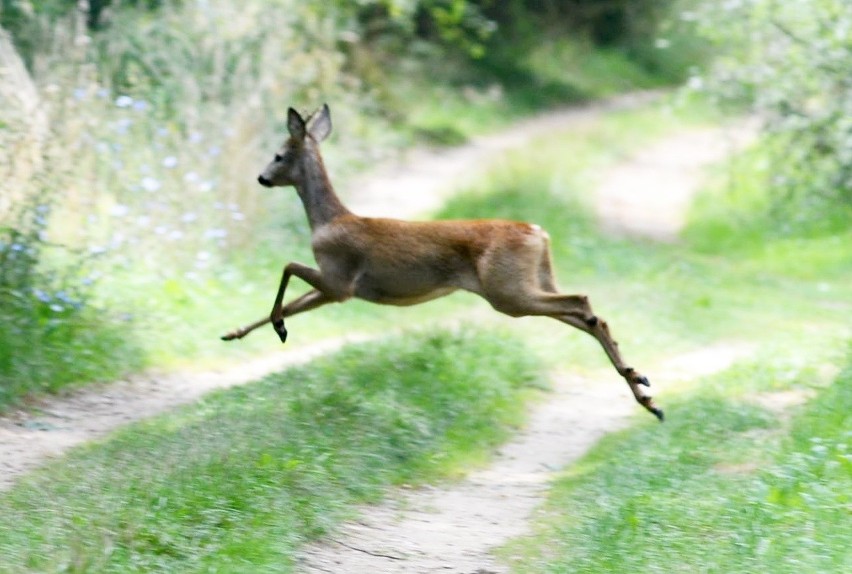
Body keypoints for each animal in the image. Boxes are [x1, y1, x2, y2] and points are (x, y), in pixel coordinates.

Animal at [220, 103, 664, 420]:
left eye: (278, 155)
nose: (261, 178)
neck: (328, 220)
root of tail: (538, 232)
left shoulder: (340, 279)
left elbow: (288, 267)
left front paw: (276, 327)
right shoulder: (336, 290)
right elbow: (294, 301)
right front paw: (235, 332)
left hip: (507, 290)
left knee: (583, 303)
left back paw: (640, 385)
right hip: (533, 281)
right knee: (586, 316)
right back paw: (645, 393)